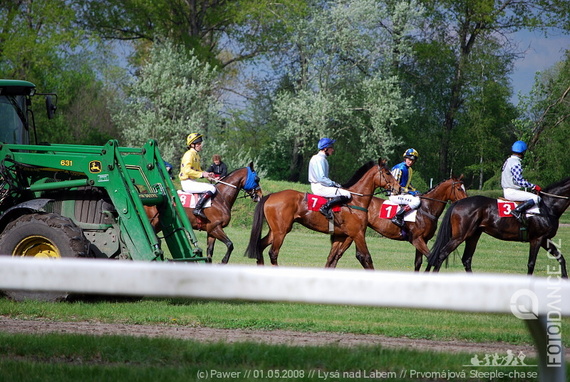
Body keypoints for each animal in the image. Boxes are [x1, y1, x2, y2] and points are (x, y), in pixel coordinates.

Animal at [244, 160, 400, 270]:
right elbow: (365, 257)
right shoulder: (357, 234)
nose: (398, 188)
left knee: (260, 245)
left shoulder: (341, 236)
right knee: (273, 253)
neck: (355, 199)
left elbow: (332, 258)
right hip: (281, 232)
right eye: (387, 173)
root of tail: (270, 195)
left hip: (276, 230)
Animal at [324, 175, 466, 268]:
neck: (426, 208)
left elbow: (418, 263)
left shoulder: (423, 240)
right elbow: (431, 257)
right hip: (353, 233)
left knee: (337, 255)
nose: (466, 201)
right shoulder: (417, 239)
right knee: (339, 255)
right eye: (459, 189)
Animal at [426, 176, 568, 278]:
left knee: (466, 259)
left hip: (473, 235)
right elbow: (531, 264)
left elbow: (561, 258)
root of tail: (458, 202)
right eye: (459, 189)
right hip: (460, 236)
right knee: (443, 254)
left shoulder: (544, 239)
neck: (547, 207)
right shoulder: (537, 239)